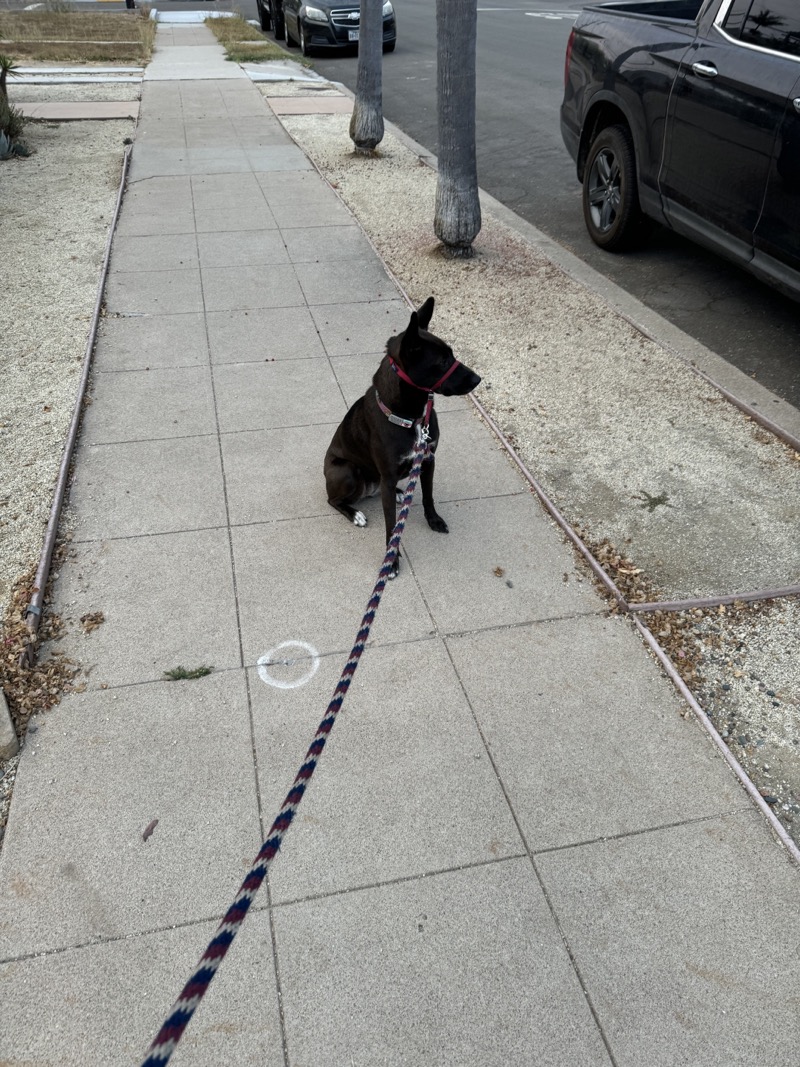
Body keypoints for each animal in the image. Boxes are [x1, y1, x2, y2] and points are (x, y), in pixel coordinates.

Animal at [324, 296, 482, 571]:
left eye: (452, 354)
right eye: (442, 362)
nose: (478, 379)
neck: (411, 416)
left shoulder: (428, 460)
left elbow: (428, 495)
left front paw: (434, 520)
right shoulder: (388, 475)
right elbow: (391, 524)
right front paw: (392, 559)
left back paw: (399, 494)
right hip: (348, 471)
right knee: (333, 500)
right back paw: (355, 514)